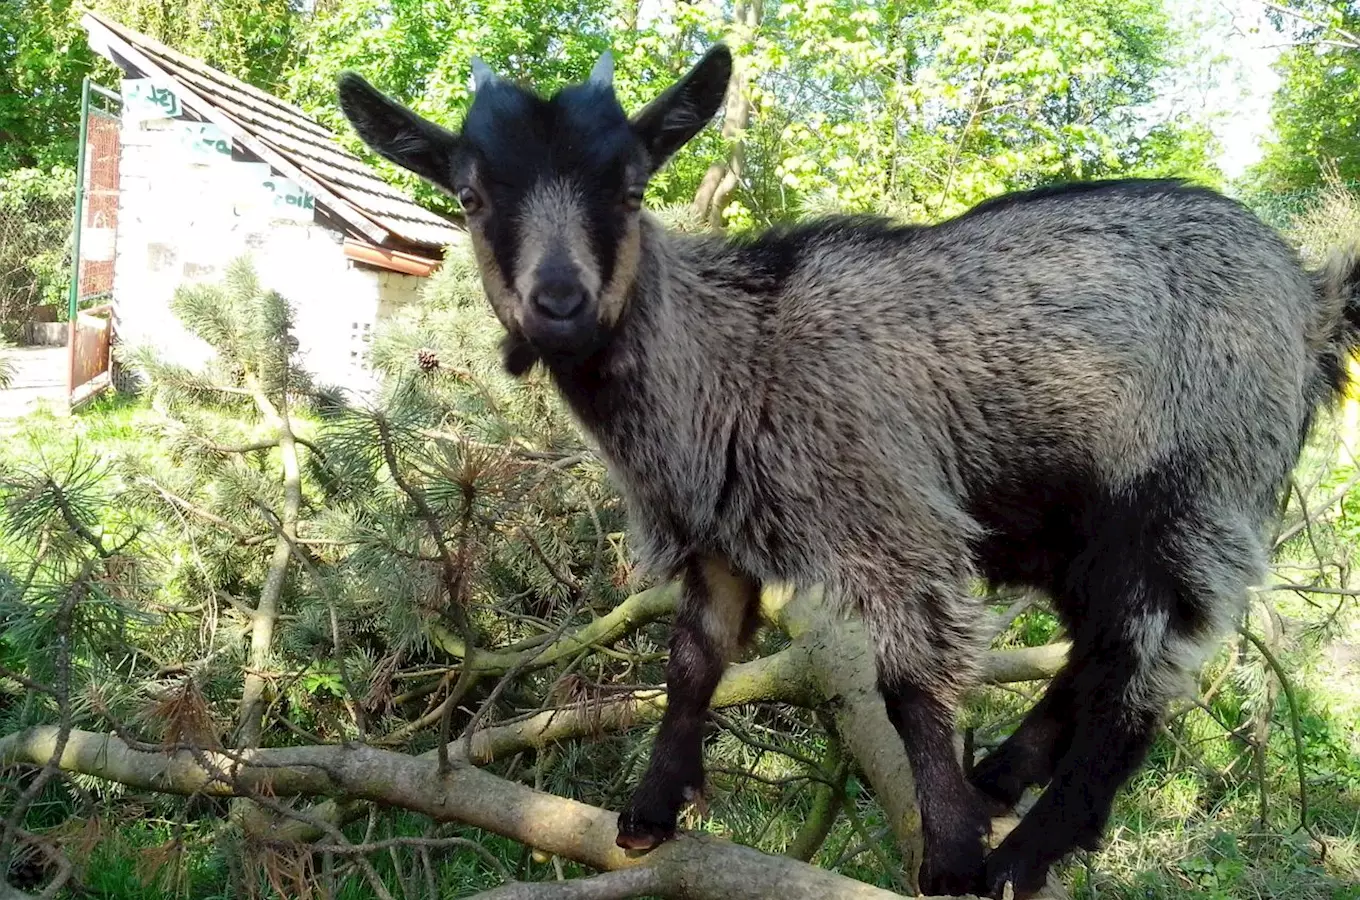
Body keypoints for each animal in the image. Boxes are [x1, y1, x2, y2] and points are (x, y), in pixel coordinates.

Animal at [334, 45, 1360, 897]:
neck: (737, 356)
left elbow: (909, 689)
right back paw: (1005, 778)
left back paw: (1026, 848)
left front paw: (950, 858)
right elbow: (693, 663)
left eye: (629, 188)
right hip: (1082, 524)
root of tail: (1309, 298)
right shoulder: (716, 537)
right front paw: (649, 814)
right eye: (470, 196)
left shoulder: (889, 520)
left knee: (1138, 678)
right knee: (1099, 650)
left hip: (1185, 488)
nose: (559, 302)